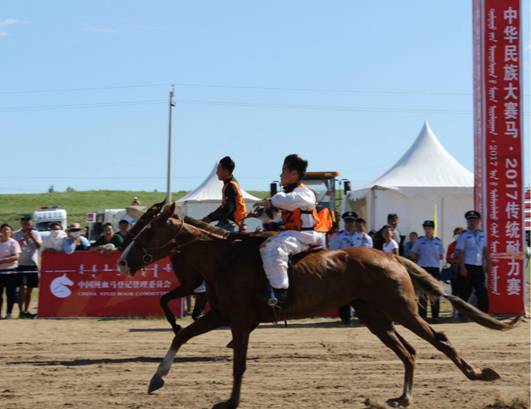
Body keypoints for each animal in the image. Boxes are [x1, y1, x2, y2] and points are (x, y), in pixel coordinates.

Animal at [118, 204, 520, 408]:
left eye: (147, 229)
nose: (122, 260)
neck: (223, 258)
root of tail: (390, 255)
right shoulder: (220, 315)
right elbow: (181, 336)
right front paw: (157, 378)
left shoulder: (240, 321)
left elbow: (238, 364)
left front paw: (230, 402)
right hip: (376, 317)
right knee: (408, 352)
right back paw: (403, 396)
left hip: (402, 310)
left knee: (438, 339)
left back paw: (479, 374)